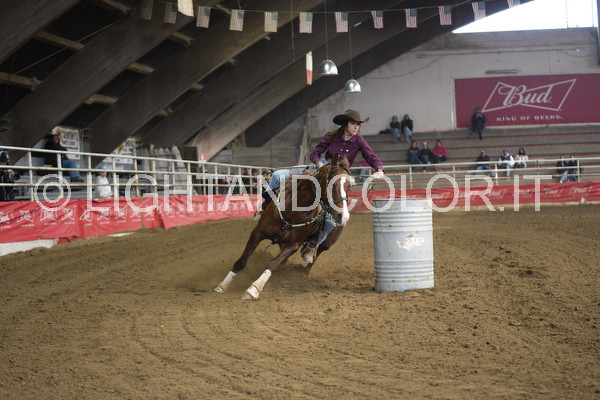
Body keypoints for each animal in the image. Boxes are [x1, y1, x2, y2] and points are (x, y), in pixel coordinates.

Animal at [214, 153, 352, 300]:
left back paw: (306, 267)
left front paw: (254, 289)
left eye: (349, 187)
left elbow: (273, 263)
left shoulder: (293, 245)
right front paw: (222, 285)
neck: (292, 212)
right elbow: (241, 261)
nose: (344, 216)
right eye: (333, 184)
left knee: (317, 253)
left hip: (328, 243)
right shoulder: (257, 233)